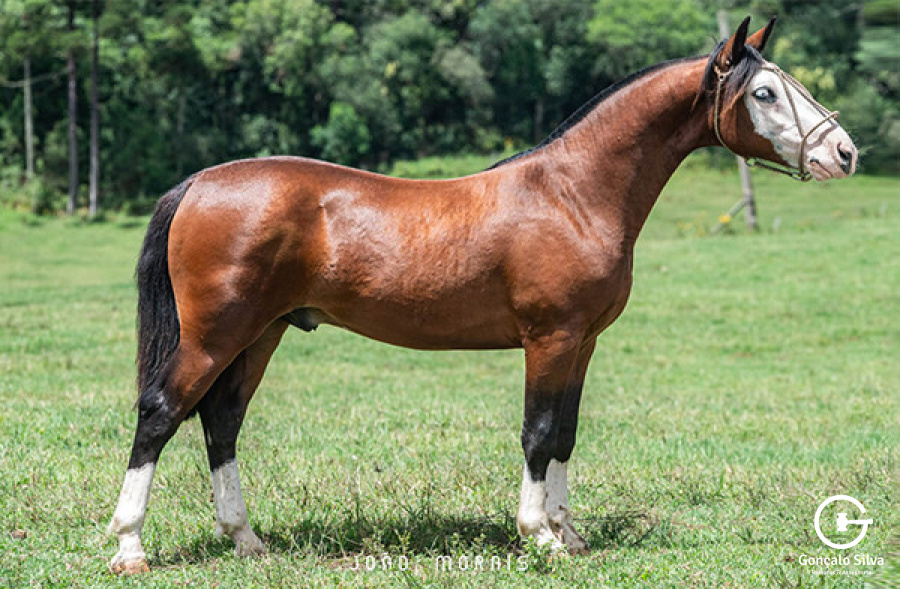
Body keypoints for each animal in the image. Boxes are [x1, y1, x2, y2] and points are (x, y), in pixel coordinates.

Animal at [108, 16, 857, 573]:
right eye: (764, 94)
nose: (844, 153)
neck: (573, 193)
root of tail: (199, 182)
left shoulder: (582, 343)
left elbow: (565, 434)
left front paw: (568, 531)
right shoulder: (549, 338)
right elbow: (537, 431)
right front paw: (539, 534)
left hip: (261, 332)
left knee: (221, 420)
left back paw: (247, 539)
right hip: (216, 333)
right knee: (161, 413)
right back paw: (130, 546)